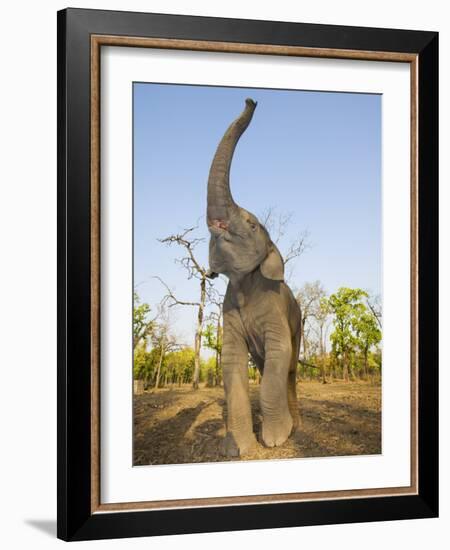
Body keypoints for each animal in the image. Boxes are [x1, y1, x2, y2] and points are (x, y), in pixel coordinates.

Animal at [207, 98, 302, 458]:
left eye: (250, 224)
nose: (251, 100)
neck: (244, 284)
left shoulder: (275, 309)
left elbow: (280, 354)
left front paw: (275, 440)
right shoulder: (228, 313)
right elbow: (231, 362)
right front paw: (236, 450)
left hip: (300, 322)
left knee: (289, 369)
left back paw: (296, 426)